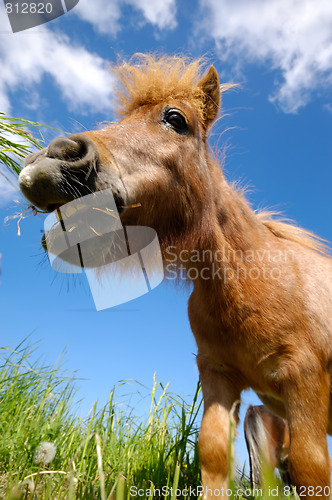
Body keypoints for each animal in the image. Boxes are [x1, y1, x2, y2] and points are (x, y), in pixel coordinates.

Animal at [18, 52, 332, 498]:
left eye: (175, 119)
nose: (53, 158)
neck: (251, 281)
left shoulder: (304, 381)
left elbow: (311, 468)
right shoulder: (218, 377)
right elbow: (214, 454)